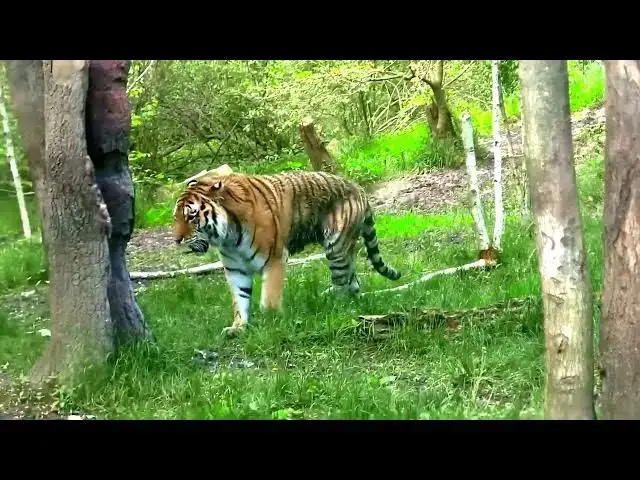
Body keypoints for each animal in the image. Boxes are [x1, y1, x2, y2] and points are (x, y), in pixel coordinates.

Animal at [173, 164, 401, 336]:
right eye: (175, 217)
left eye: (191, 215)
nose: (176, 240)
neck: (227, 236)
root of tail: (357, 187)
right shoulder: (235, 269)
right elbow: (240, 300)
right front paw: (238, 327)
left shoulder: (274, 259)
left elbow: (269, 300)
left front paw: (272, 323)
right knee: (353, 282)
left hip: (336, 246)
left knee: (343, 283)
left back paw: (333, 305)